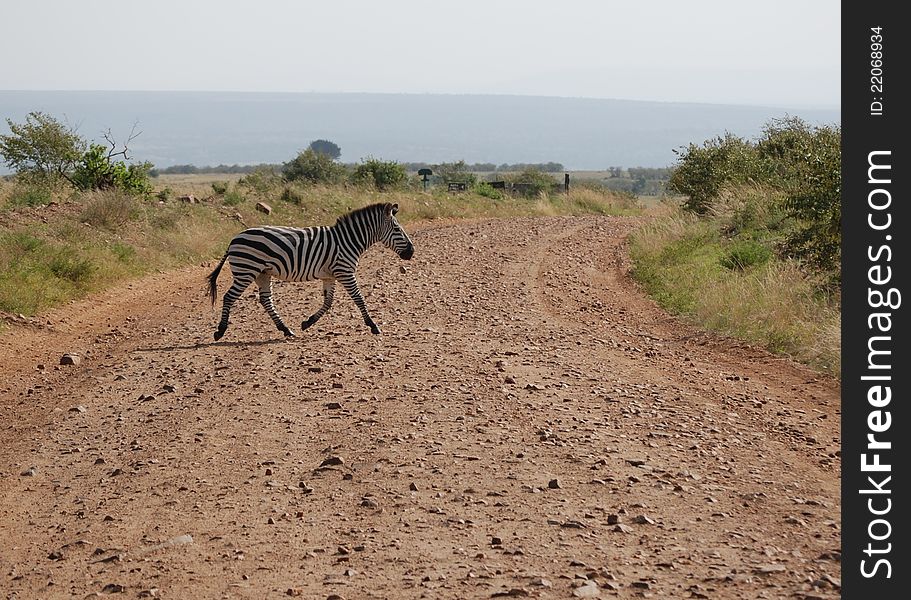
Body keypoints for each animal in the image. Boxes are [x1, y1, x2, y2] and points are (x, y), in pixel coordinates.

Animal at [207, 202, 414, 340]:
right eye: (397, 229)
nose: (411, 252)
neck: (348, 240)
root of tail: (234, 239)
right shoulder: (345, 271)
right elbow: (359, 298)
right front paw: (373, 325)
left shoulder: (330, 276)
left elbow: (328, 302)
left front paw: (307, 323)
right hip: (246, 270)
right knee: (229, 297)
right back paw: (220, 331)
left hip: (262, 273)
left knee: (266, 300)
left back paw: (286, 329)